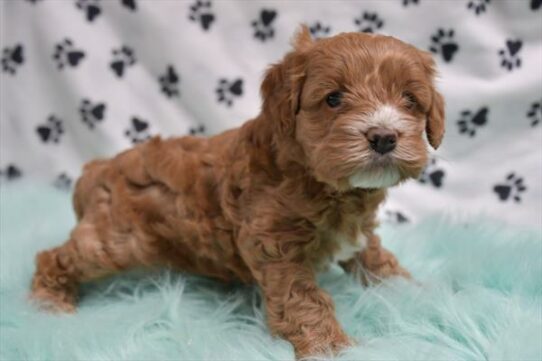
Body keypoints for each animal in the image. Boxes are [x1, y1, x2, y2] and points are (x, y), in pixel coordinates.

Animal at [30, 26, 446, 356]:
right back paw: (49, 305)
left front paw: (418, 295)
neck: (328, 185)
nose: (384, 137)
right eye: (333, 99)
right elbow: (302, 299)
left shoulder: (357, 232)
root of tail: (96, 169)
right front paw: (332, 347)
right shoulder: (273, 243)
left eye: (409, 100)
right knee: (55, 257)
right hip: (116, 240)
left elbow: (378, 262)